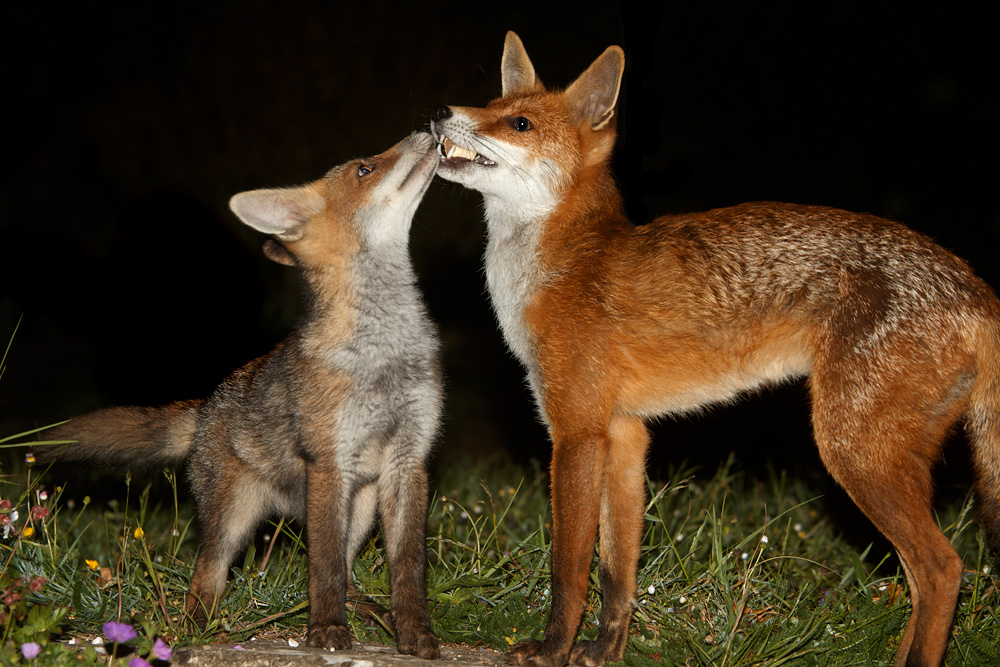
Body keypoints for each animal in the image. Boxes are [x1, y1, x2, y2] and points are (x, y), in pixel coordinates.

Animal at [31, 132, 443, 658]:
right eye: (365, 169)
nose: (429, 129)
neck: (384, 353)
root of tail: (207, 407)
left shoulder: (408, 460)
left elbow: (408, 568)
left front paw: (415, 633)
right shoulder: (329, 461)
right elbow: (323, 569)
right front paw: (326, 631)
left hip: (363, 505)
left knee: (350, 573)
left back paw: (375, 614)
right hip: (236, 517)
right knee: (207, 574)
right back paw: (197, 629)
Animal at [429, 31, 1000, 667]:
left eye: (520, 123)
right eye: (488, 105)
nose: (440, 113)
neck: (559, 268)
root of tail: (977, 288)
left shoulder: (577, 432)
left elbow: (570, 568)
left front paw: (553, 649)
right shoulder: (625, 433)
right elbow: (617, 573)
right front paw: (604, 651)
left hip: (854, 453)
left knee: (944, 569)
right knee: (924, 579)